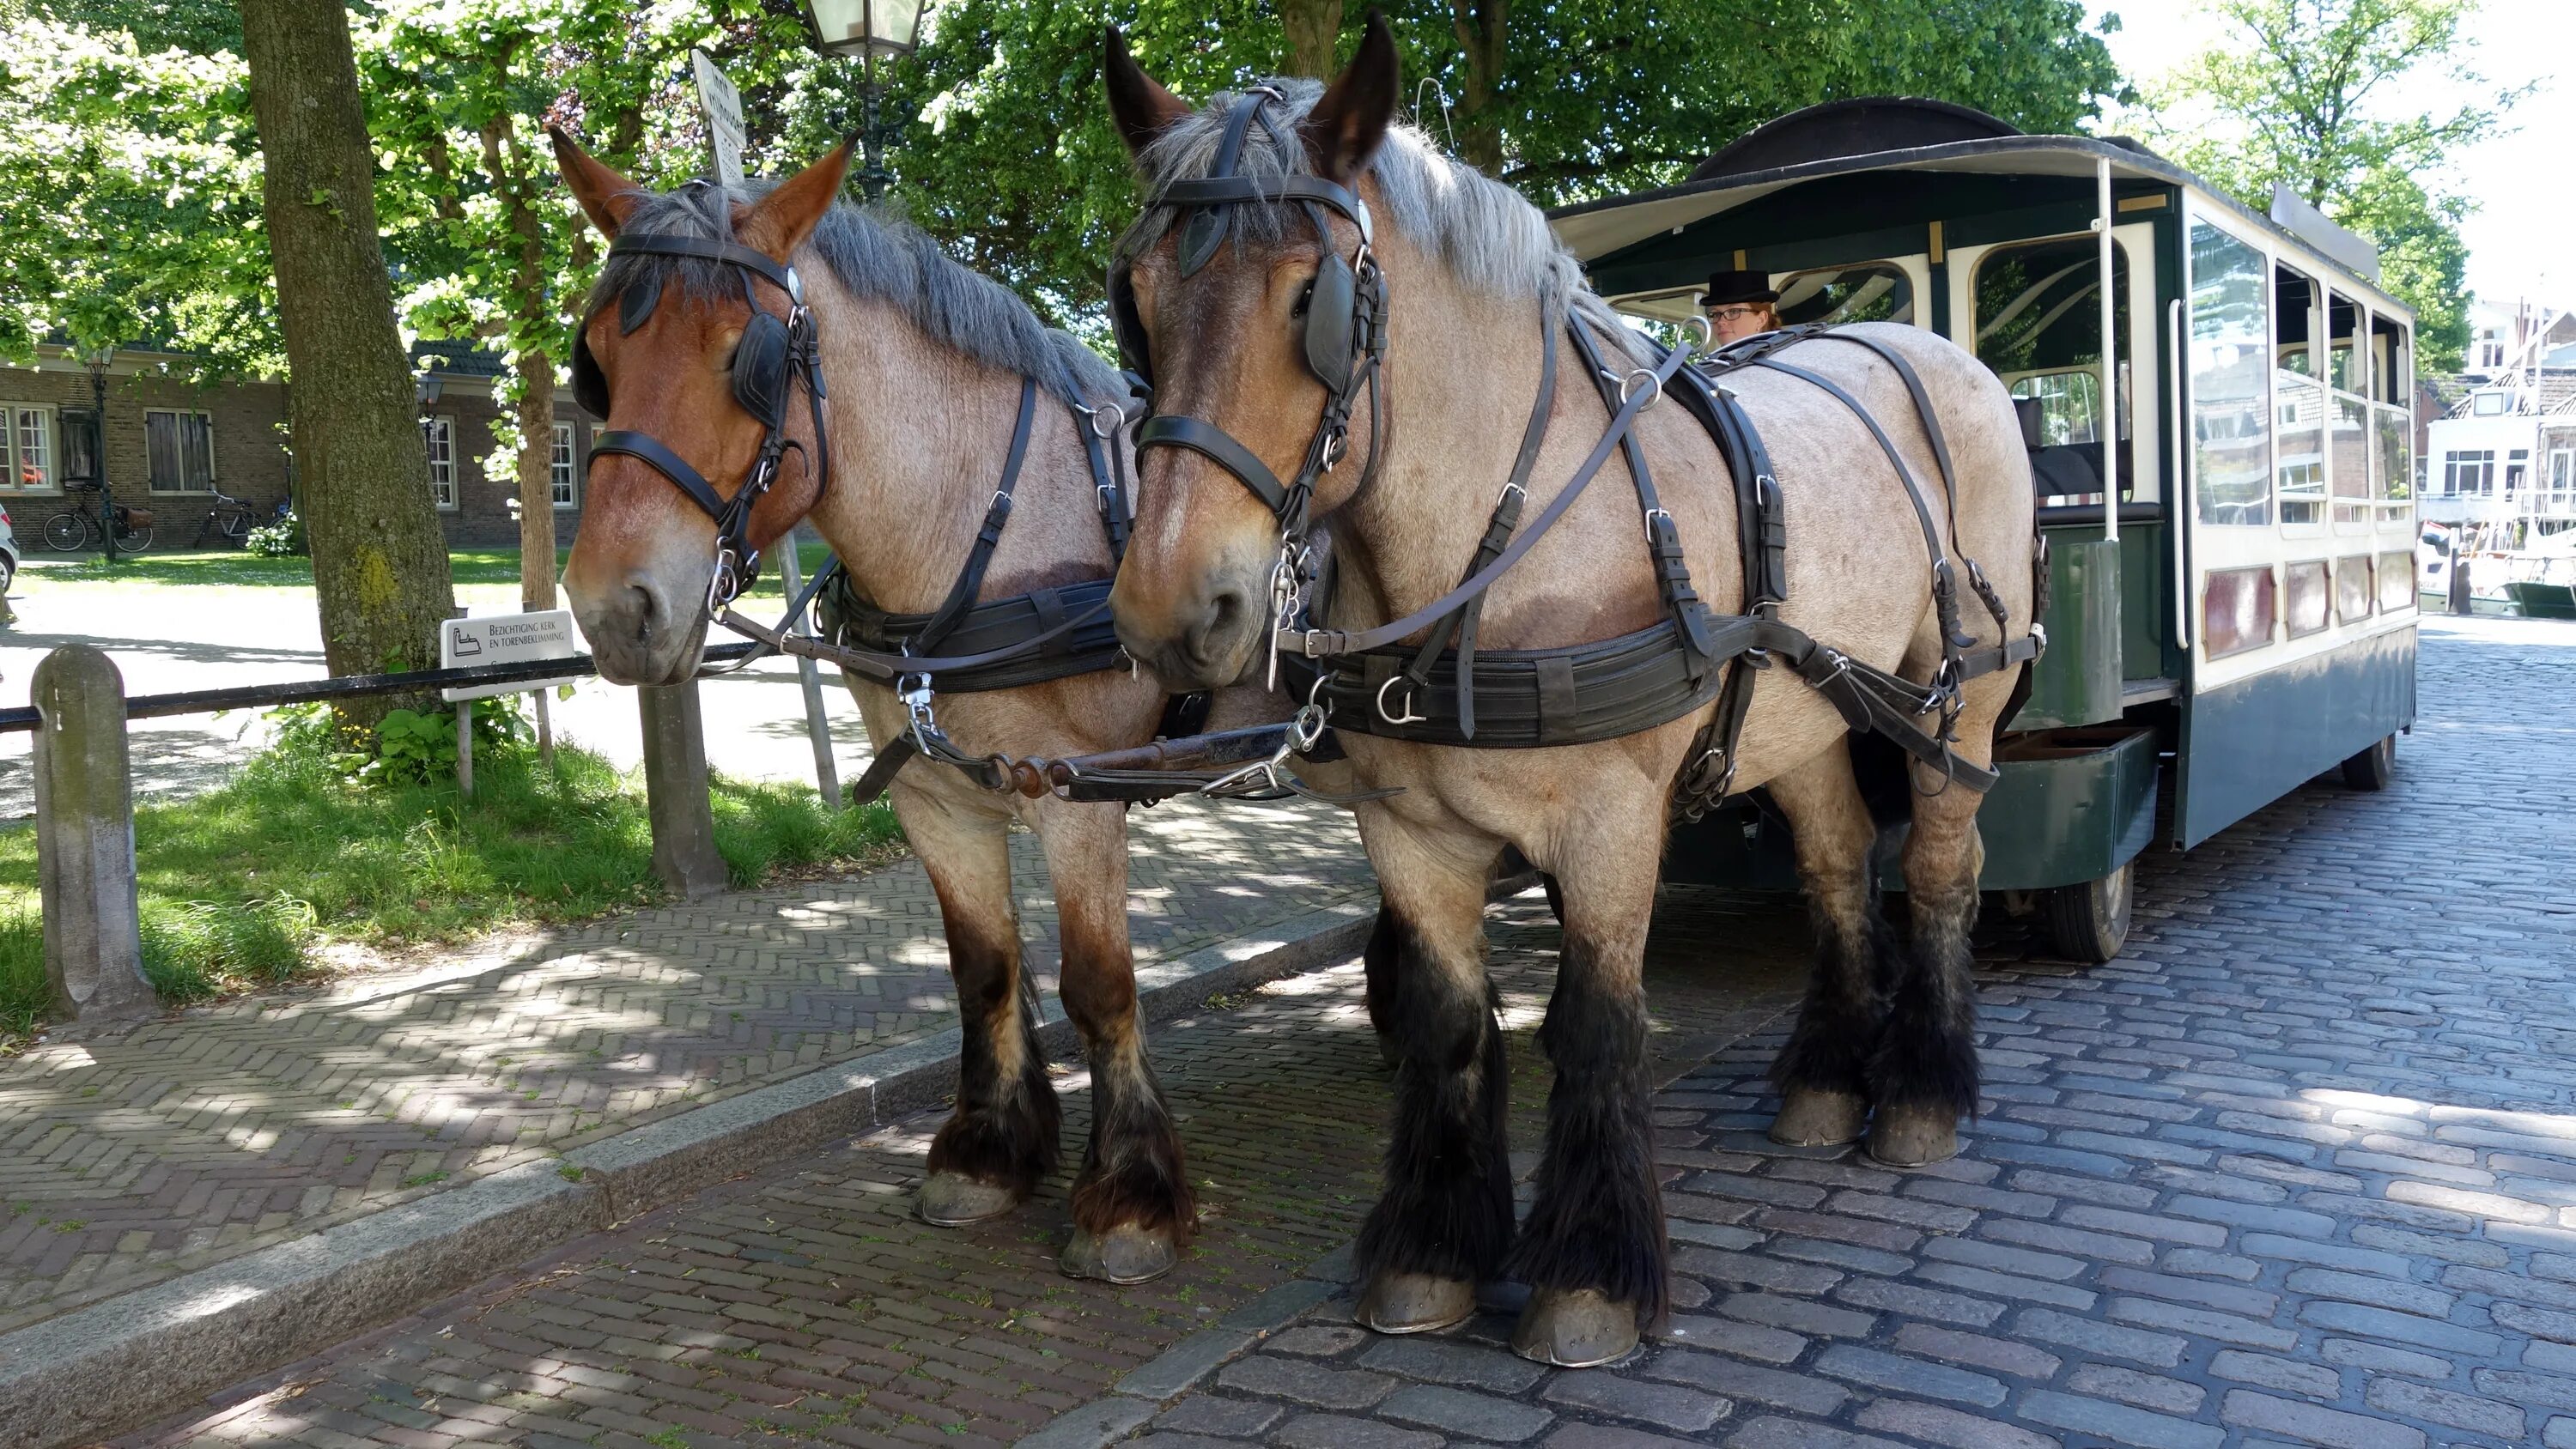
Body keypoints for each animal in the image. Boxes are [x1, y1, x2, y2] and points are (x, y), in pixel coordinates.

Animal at [551, 127, 1226, 1282]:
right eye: (594, 356)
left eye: (746, 357)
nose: (614, 607)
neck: (985, 529)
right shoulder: (938, 799)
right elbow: (984, 969)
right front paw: (987, 1151)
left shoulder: (1076, 797)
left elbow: (1100, 985)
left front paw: (1128, 1198)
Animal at [1097, 16, 2040, 1369]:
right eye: (1138, 299)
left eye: (1310, 297)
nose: (1171, 612)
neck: (1491, 544)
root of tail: (1942, 354)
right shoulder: (1409, 831)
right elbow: (1448, 1022)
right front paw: (1433, 1254)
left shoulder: (1607, 821)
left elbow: (1596, 1023)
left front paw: (1588, 1279)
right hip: (1807, 710)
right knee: (1836, 864)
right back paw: (1824, 1082)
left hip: (1954, 703)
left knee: (1938, 870)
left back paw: (1919, 1096)